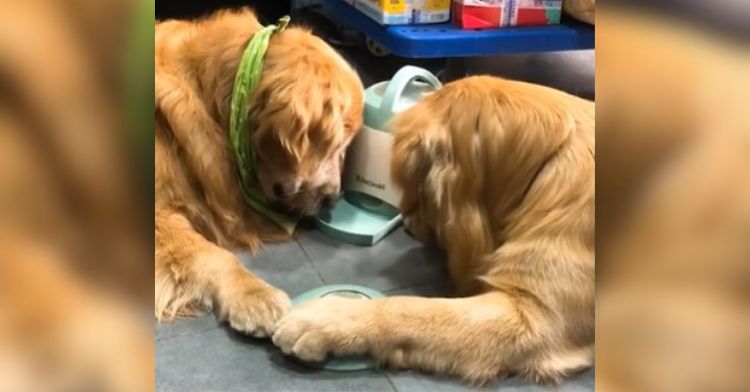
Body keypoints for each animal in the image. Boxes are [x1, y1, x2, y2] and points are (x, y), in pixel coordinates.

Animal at [274, 75, 596, 384]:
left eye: (416, 182)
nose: (407, 223)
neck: (547, 163)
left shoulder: (538, 318)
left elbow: (411, 308)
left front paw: (328, 318)